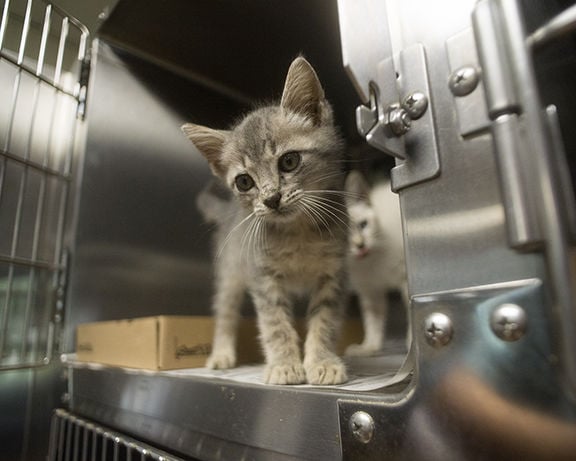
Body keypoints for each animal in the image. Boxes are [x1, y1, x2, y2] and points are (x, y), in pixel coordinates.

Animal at [182, 59, 348, 386]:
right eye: (244, 181)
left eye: (289, 161)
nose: (271, 199)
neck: (299, 233)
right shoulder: (262, 275)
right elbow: (275, 324)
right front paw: (285, 365)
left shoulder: (334, 274)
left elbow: (325, 319)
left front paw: (322, 362)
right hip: (231, 271)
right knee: (225, 311)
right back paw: (221, 354)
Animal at [344, 171, 408, 354]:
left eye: (363, 225)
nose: (360, 245)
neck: (369, 264)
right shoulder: (369, 291)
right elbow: (372, 321)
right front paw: (369, 346)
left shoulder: (405, 280)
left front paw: (411, 343)